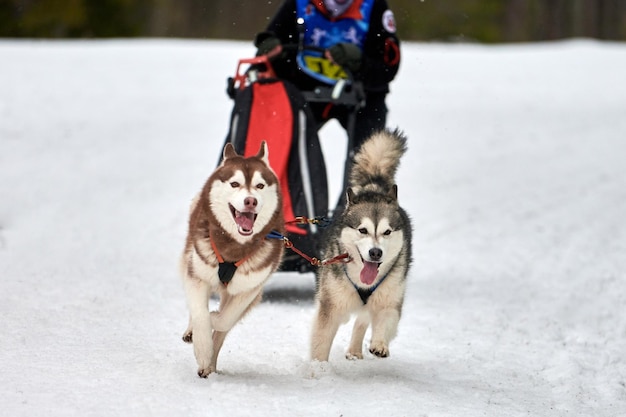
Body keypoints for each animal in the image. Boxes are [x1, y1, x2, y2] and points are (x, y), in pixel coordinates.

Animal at [179, 142, 284, 376]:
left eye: (260, 186)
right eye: (235, 184)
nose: (250, 201)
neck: (233, 248)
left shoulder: (249, 288)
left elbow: (224, 320)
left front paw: (214, 318)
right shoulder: (197, 276)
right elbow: (199, 314)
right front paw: (202, 348)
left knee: (222, 330)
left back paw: (211, 364)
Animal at [310, 129, 410, 360]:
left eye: (387, 232)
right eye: (362, 230)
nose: (375, 253)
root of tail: (374, 186)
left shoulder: (390, 300)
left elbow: (386, 319)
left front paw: (379, 344)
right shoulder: (331, 303)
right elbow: (321, 340)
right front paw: (317, 367)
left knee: (362, 320)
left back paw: (356, 349)